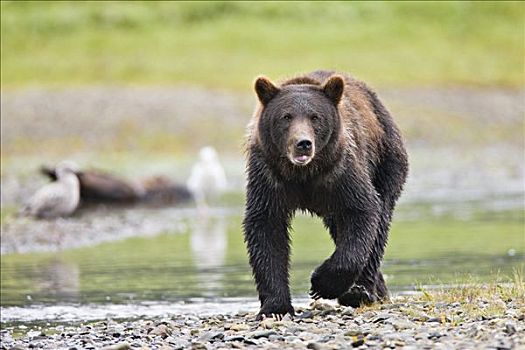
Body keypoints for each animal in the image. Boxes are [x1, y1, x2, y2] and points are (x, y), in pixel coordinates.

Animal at [243, 69, 410, 318]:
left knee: (379, 224)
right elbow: (266, 229)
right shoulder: (268, 176)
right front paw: (275, 306)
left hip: (386, 159)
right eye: (286, 116)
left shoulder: (340, 172)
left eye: (315, 117)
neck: (303, 174)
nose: (303, 143)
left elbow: (362, 212)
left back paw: (360, 291)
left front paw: (321, 284)